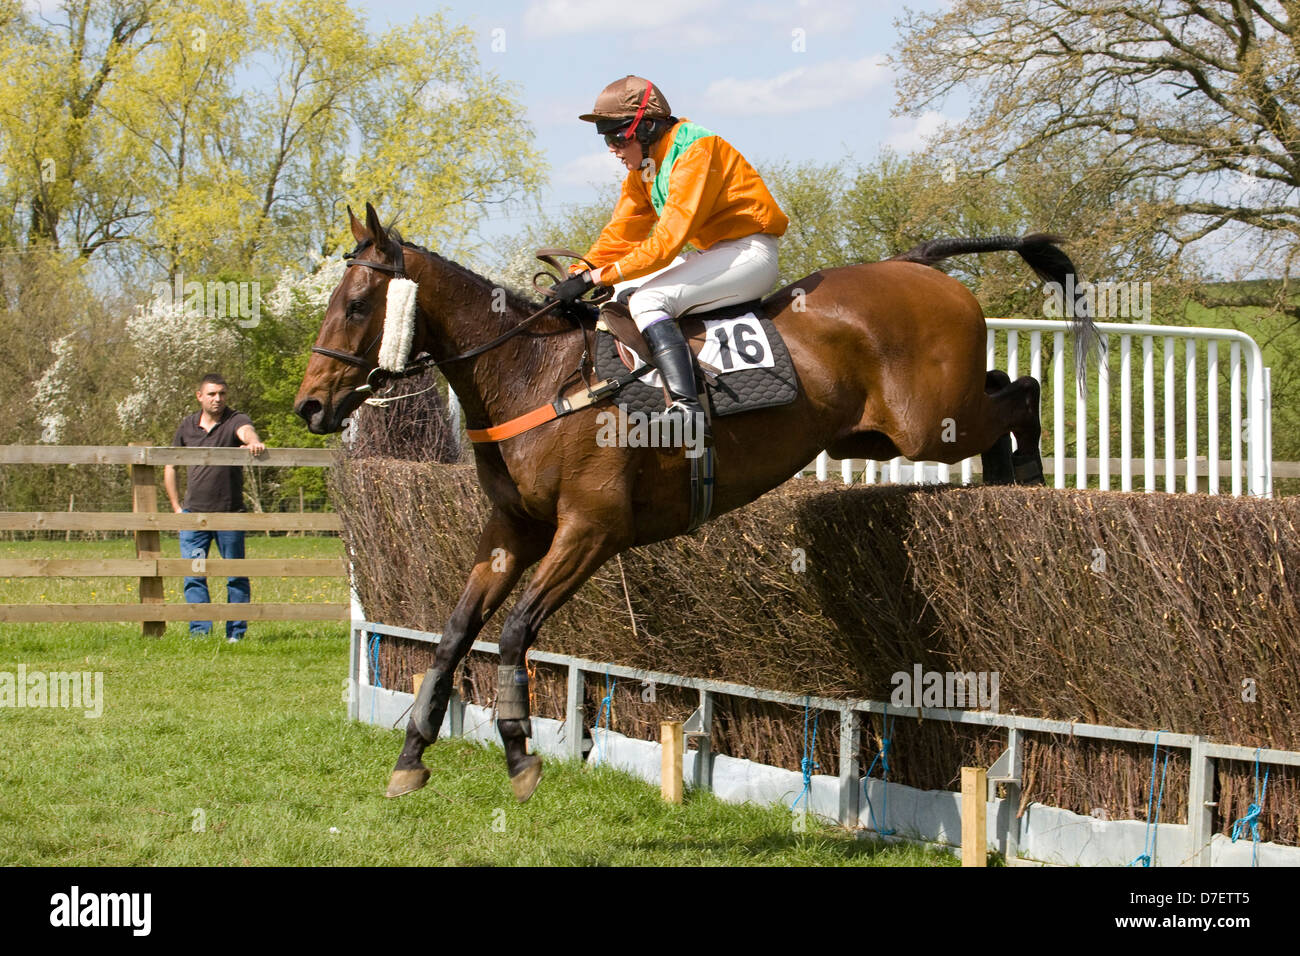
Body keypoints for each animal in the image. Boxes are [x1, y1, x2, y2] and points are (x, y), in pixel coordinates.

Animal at [295, 202, 1095, 802]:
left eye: (357, 305)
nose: (310, 406)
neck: (534, 376)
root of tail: (921, 264)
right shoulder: (512, 529)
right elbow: (456, 631)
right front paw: (411, 754)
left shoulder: (590, 531)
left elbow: (517, 630)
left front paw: (520, 754)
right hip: (884, 433)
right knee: (1004, 387)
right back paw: (1007, 479)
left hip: (931, 424)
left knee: (1023, 391)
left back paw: (1026, 475)